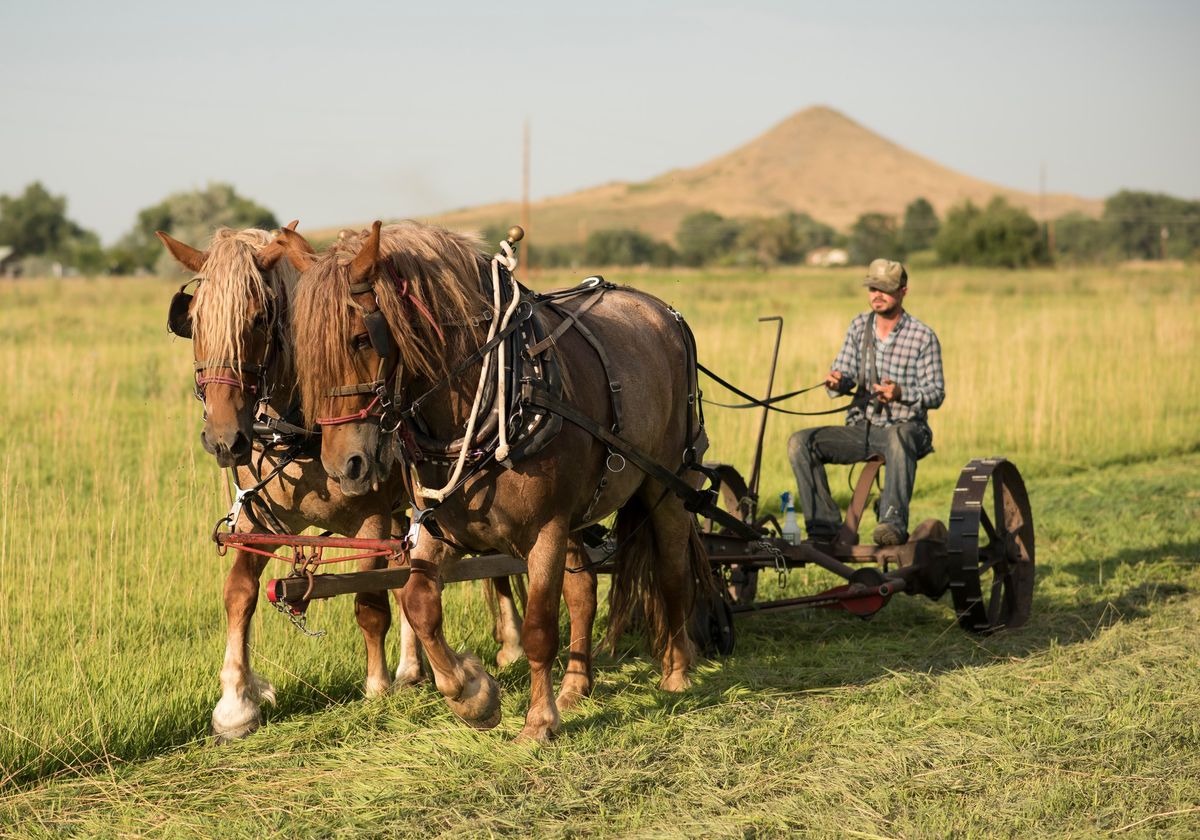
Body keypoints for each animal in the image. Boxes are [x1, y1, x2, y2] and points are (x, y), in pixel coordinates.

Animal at [156, 224, 525, 739]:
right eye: (195, 322)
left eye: (257, 319)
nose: (224, 439)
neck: (296, 431)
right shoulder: (258, 521)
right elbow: (238, 594)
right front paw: (236, 703)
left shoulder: (371, 520)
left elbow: (370, 604)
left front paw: (377, 688)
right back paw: (414, 669)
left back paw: (509, 644)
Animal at [280, 218, 710, 739]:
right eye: (301, 350)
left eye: (363, 338)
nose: (345, 465)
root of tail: (661, 311)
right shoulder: (443, 526)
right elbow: (418, 602)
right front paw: (473, 694)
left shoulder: (546, 529)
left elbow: (540, 627)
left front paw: (539, 722)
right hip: (579, 511)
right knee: (584, 590)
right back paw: (576, 685)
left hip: (666, 486)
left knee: (672, 573)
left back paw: (676, 672)